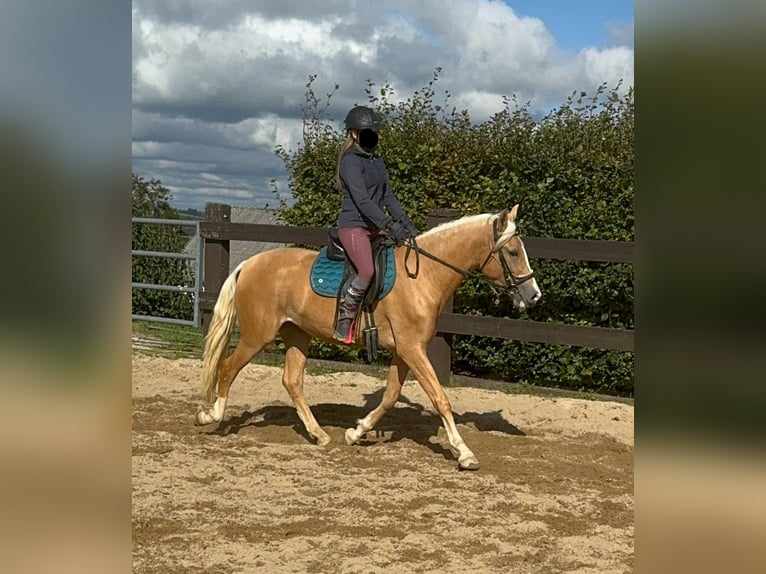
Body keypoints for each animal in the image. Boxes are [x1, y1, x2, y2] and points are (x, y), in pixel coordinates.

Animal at [200, 205, 544, 470]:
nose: (534, 296)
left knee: (292, 380)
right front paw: (464, 453)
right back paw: (211, 415)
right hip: (257, 336)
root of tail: (249, 264)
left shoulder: (404, 351)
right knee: (228, 368)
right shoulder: (413, 349)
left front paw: (357, 432)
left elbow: (391, 395)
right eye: (513, 252)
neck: (423, 276)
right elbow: (440, 398)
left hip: (297, 334)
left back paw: (319, 434)